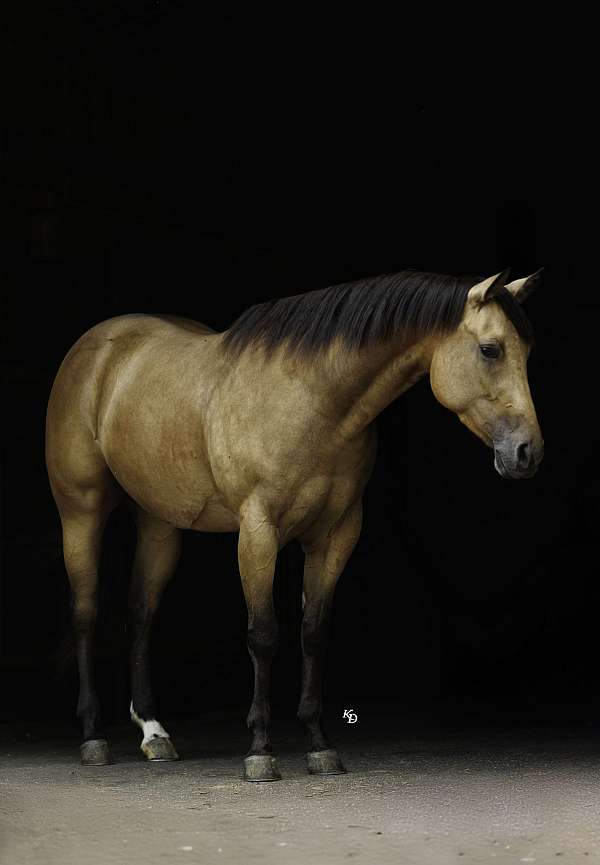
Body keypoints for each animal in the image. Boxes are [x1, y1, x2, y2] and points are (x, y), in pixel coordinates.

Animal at [45, 266, 544, 781]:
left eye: (526, 351)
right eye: (490, 349)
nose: (527, 452)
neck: (311, 400)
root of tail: (97, 346)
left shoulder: (335, 535)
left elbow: (313, 632)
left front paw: (319, 744)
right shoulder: (258, 530)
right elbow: (263, 634)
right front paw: (260, 751)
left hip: (159, 523)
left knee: (142, 614)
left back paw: (154, 732)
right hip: (80, 513)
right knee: (85, 614)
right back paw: (93, 738)